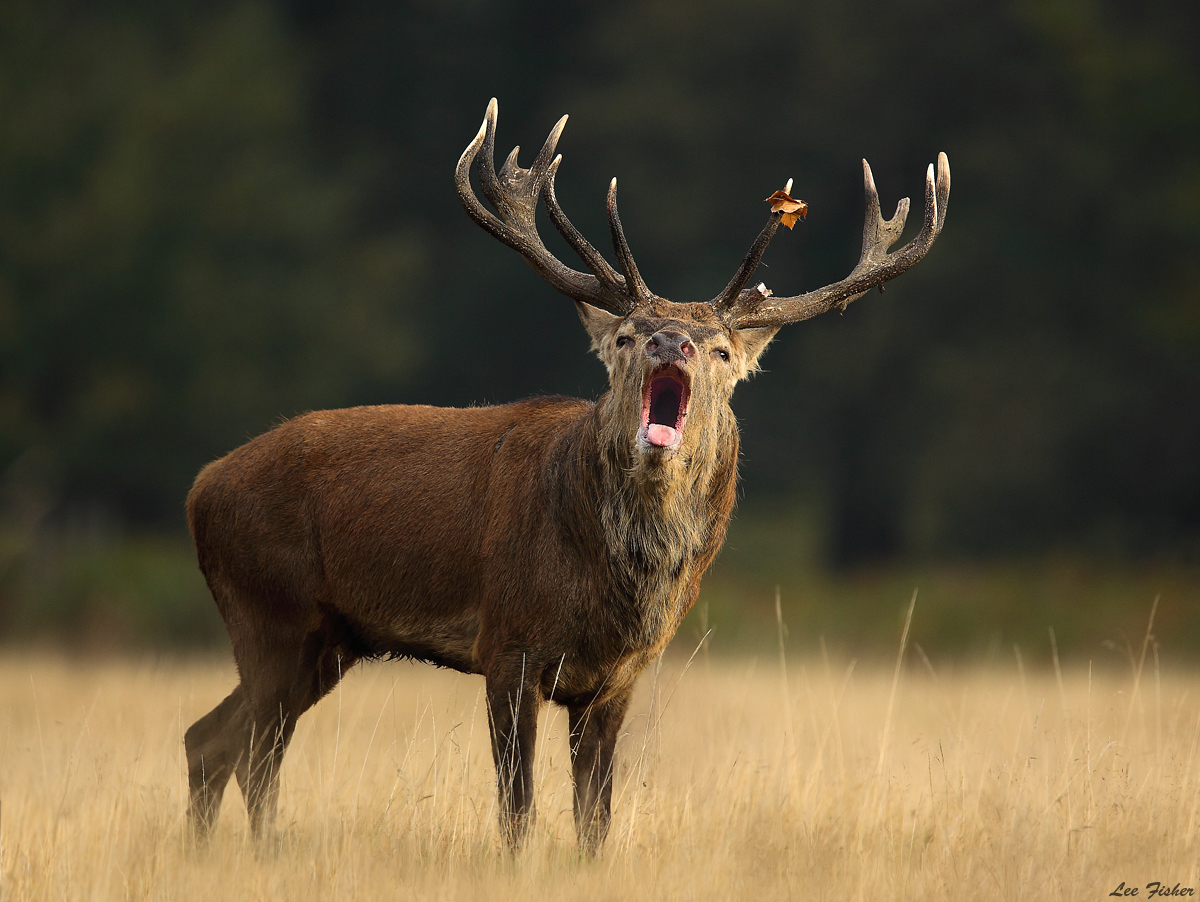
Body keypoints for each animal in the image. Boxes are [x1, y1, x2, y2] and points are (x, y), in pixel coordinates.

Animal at [183, 97, 949, 854]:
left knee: (218, 741)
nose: (671, 340)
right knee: (242, 748)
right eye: (627, 334)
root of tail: (200, 489)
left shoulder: (619, 677)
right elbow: (517, 808)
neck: (608, 591)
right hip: (271, 611)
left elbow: (594, 818)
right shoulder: (507, 646)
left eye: (722, 350)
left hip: (324, 640)